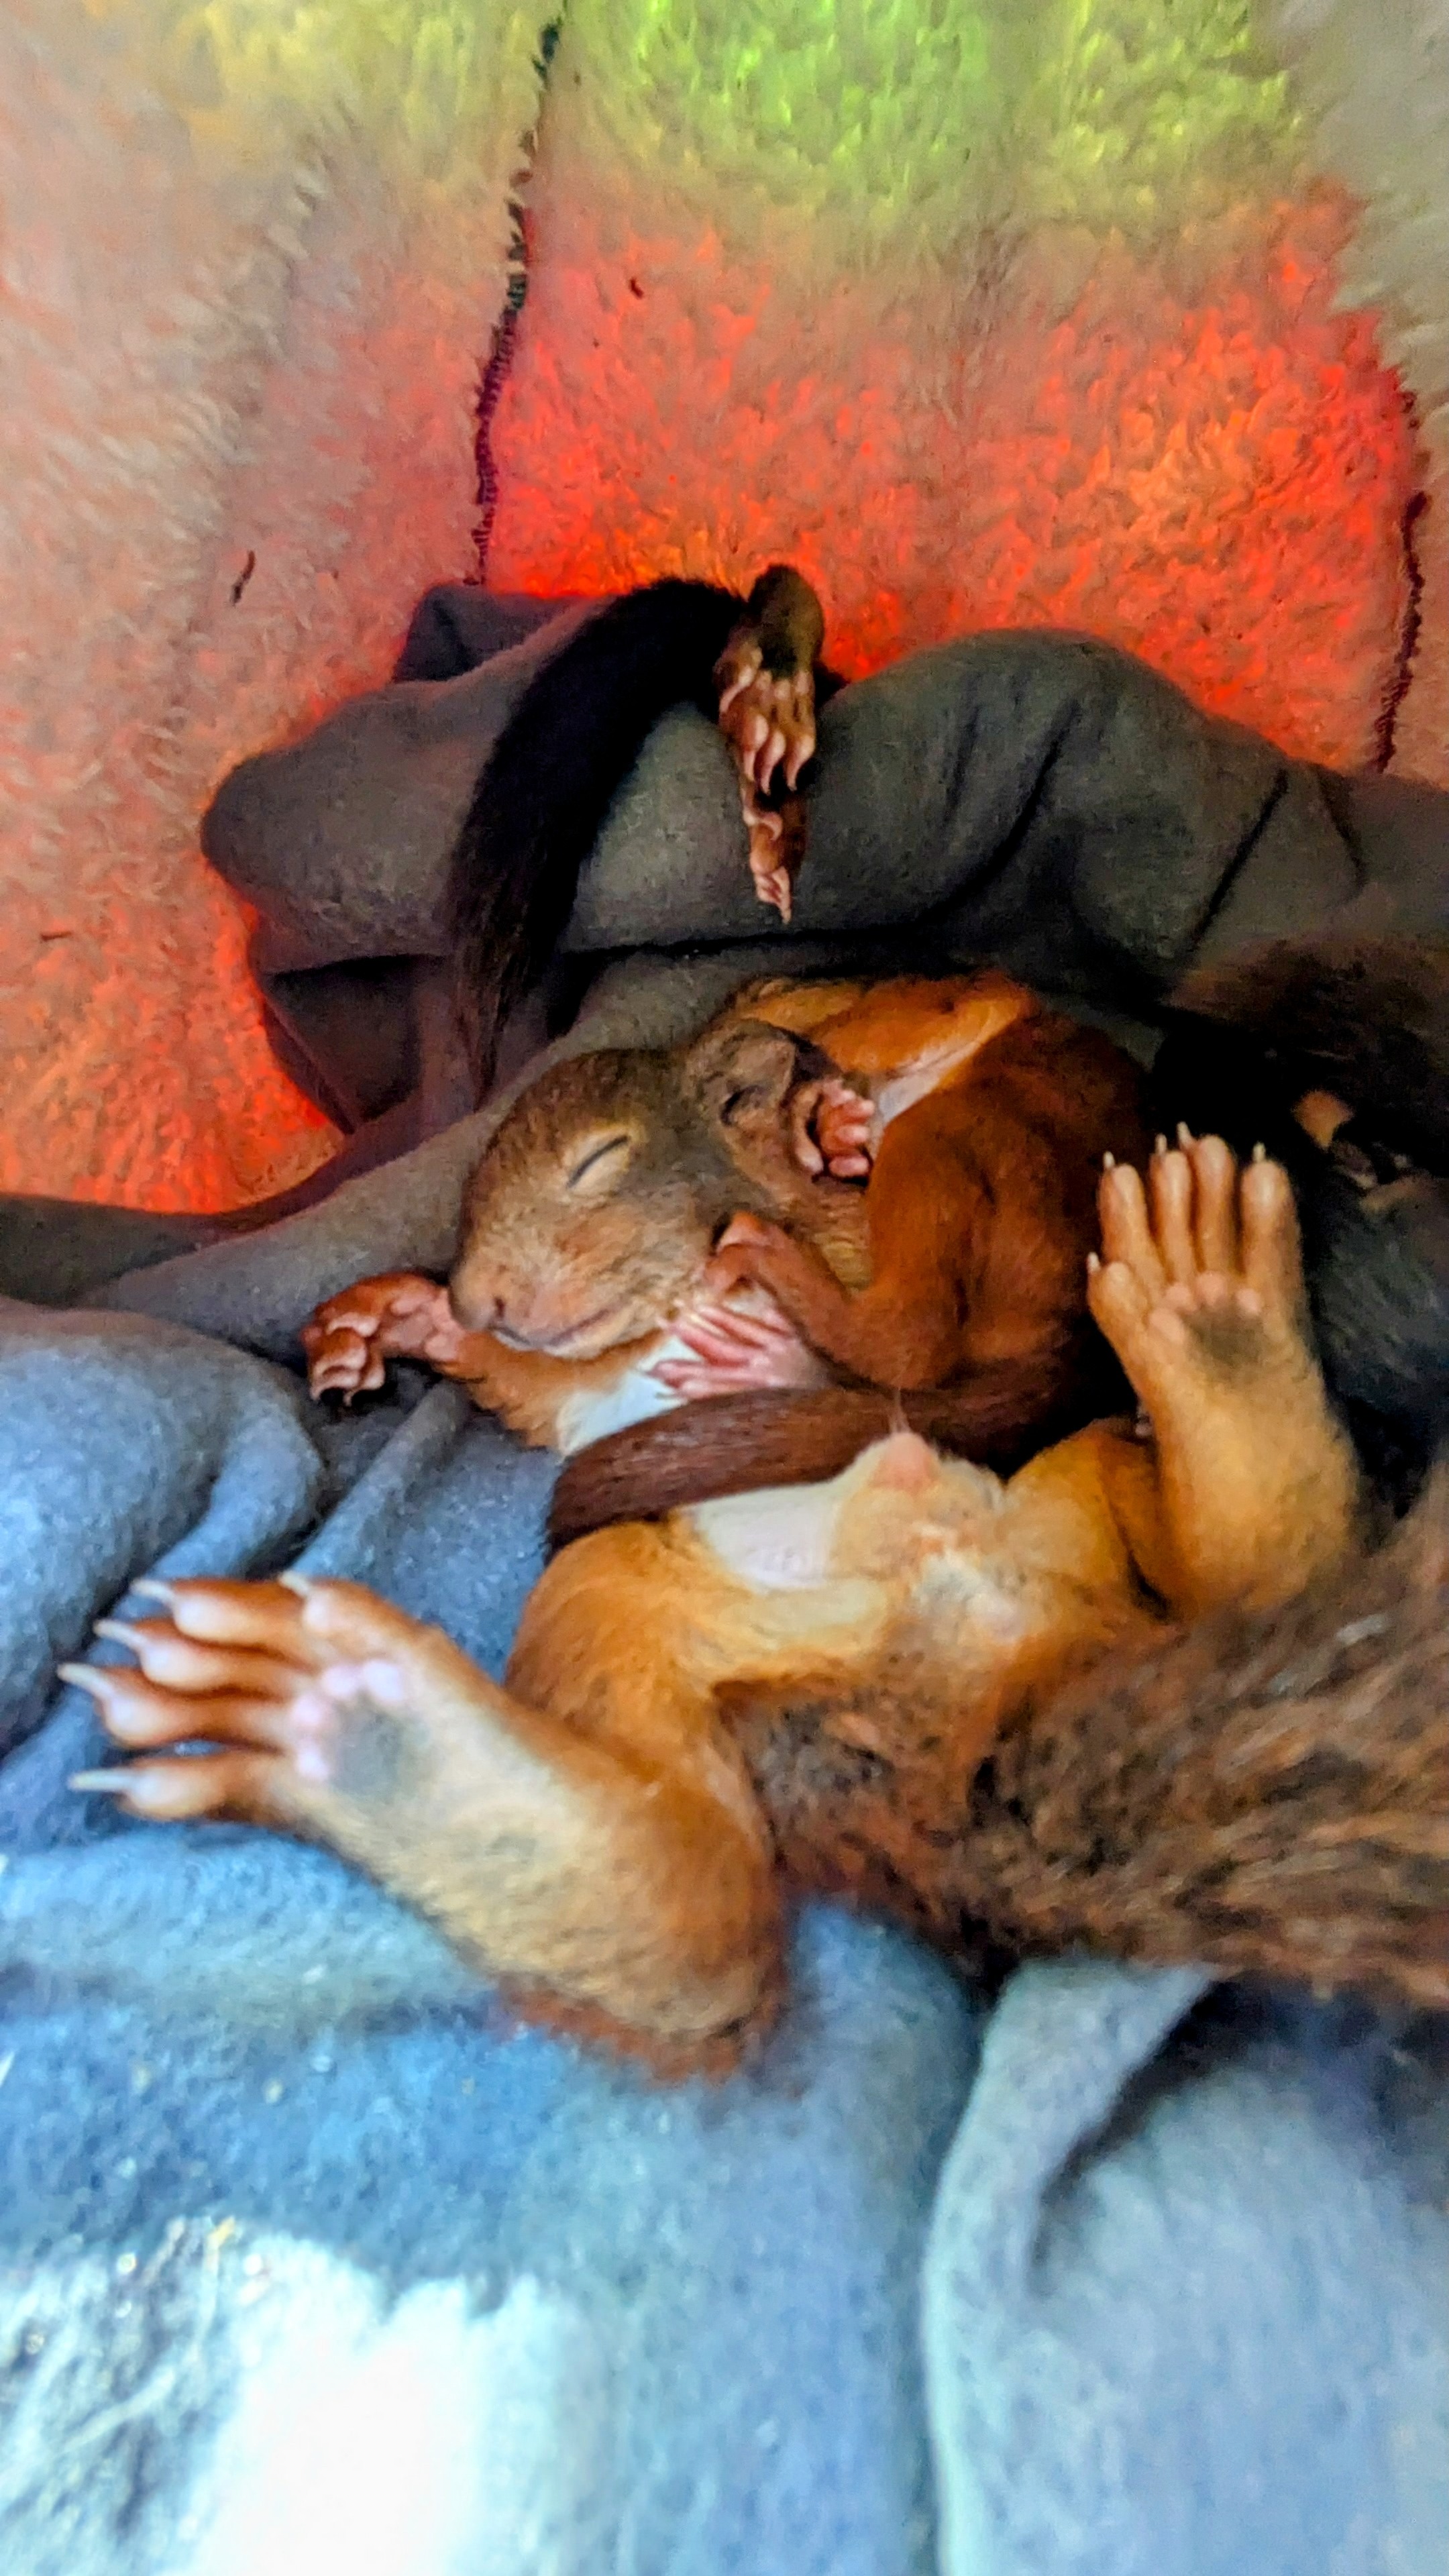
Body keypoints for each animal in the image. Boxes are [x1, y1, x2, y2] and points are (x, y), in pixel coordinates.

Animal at [72, 1134, 1446, 2078]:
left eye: (600, 1163)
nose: (487, 1292)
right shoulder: (586, 1385)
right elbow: (540, 1385)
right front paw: (408, 1322)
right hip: (640, 1593)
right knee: (705, 1919)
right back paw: (346, 1728)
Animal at [303, 969, 1149, 1466]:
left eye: (600, 1158)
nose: (478, 1302)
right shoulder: (604, 1403)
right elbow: (538, 1387)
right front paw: (392, 1319)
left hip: (961, 1126)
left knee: (913, 1339)